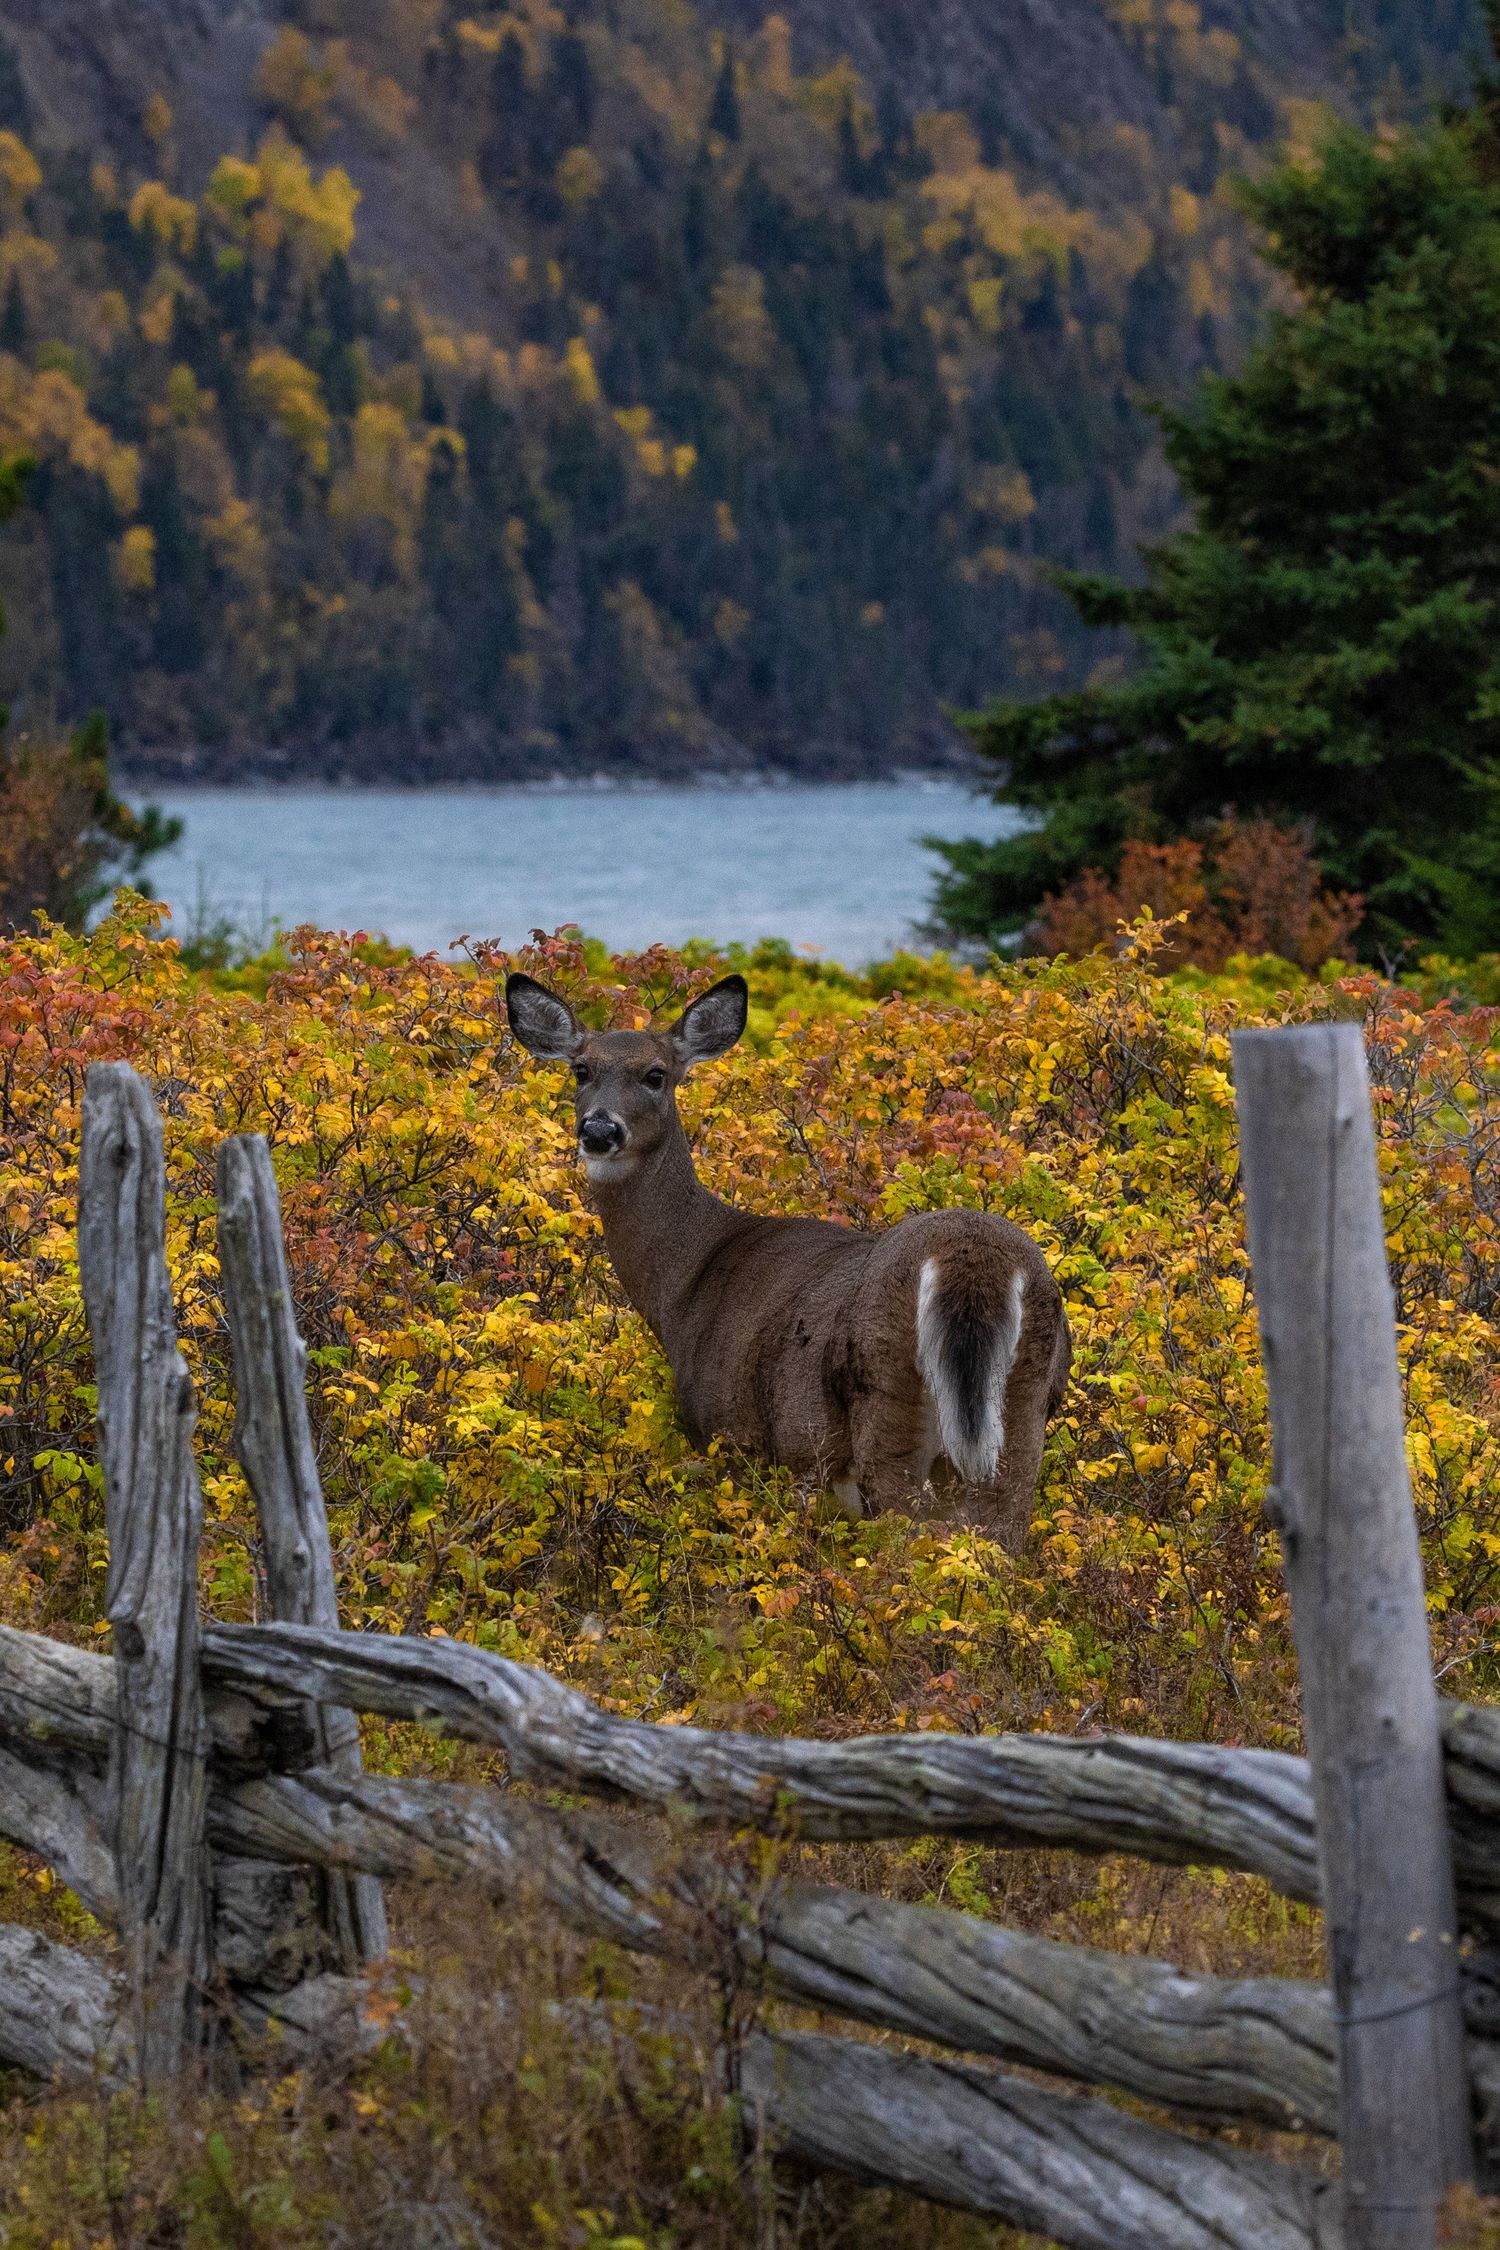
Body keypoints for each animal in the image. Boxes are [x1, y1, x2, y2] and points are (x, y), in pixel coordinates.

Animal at [505, 971, 1071, 1550]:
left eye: (656, 1075)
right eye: (581, 1069)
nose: (599, 1131)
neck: (685, 1284)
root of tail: (972, 1264)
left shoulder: (730, 1432)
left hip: (887, 1401)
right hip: (1025, 1407)